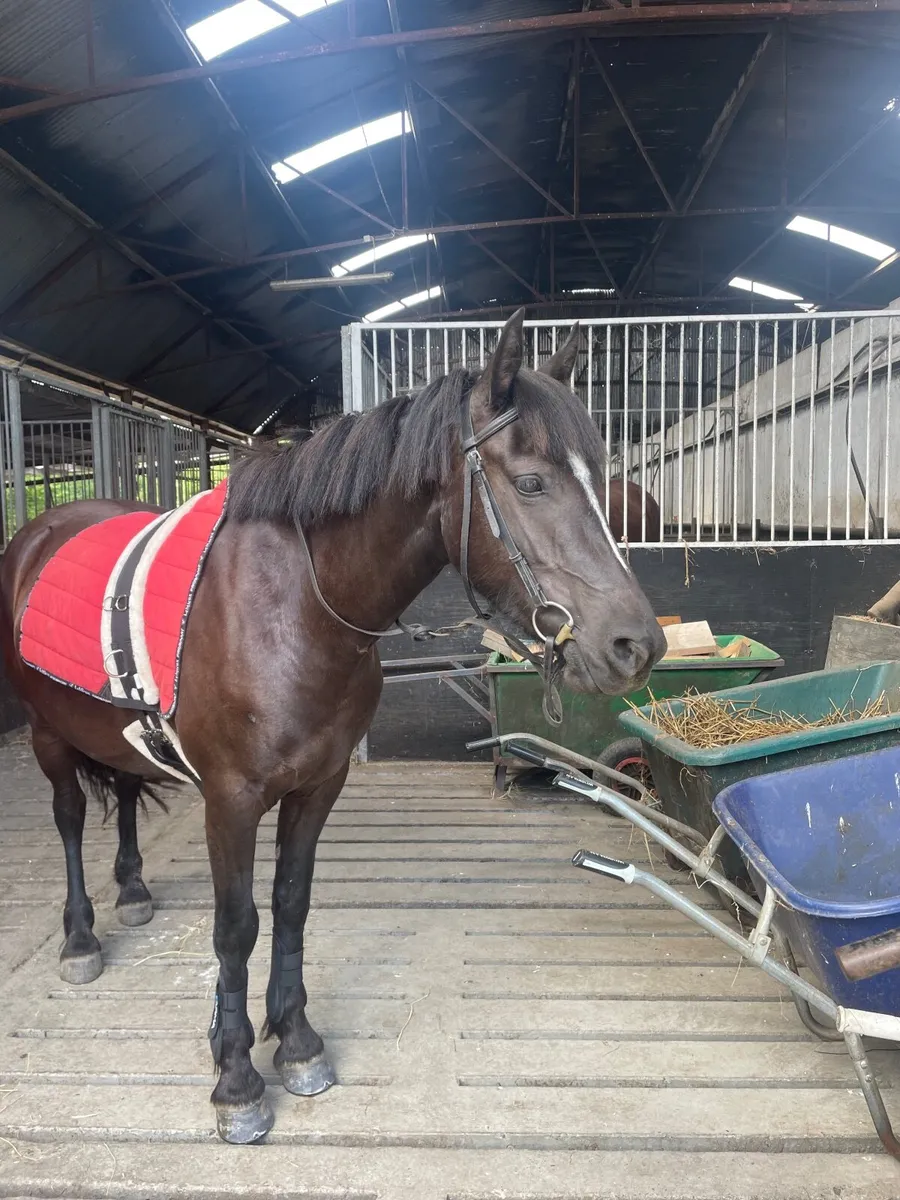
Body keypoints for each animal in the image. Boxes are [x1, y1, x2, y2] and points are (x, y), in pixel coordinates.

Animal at [0, 310, 666, 1144]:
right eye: (531, 482)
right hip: (48, 737)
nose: (636, 645)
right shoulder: (231, 800)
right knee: (68, 817)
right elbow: (236, 926)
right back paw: (82, 936)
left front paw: (297, 1042)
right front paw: (236, 1078)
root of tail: (40, 530)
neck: (294, 606)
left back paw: (133, 890)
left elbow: (291, 903)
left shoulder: (319, 785)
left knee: (122, 791)